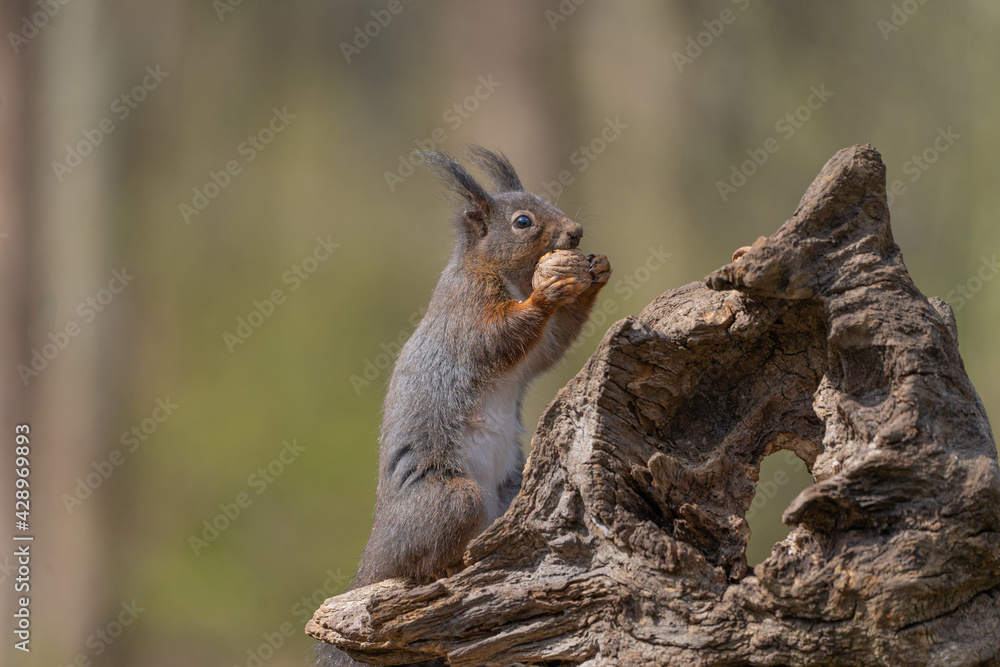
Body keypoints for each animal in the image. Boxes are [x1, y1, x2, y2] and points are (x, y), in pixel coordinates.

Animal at [316, 146, 611, 667]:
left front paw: (595, 273)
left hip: (510, 493)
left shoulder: (532, 356)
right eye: (522, 221)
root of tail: (374, 554)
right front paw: (548, 292)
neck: (505, 276)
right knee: (415, 563)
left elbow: (550, 345)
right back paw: (438, 572)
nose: (575, 232)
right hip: (452, 500)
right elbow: (503, 335)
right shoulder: (468, 315)